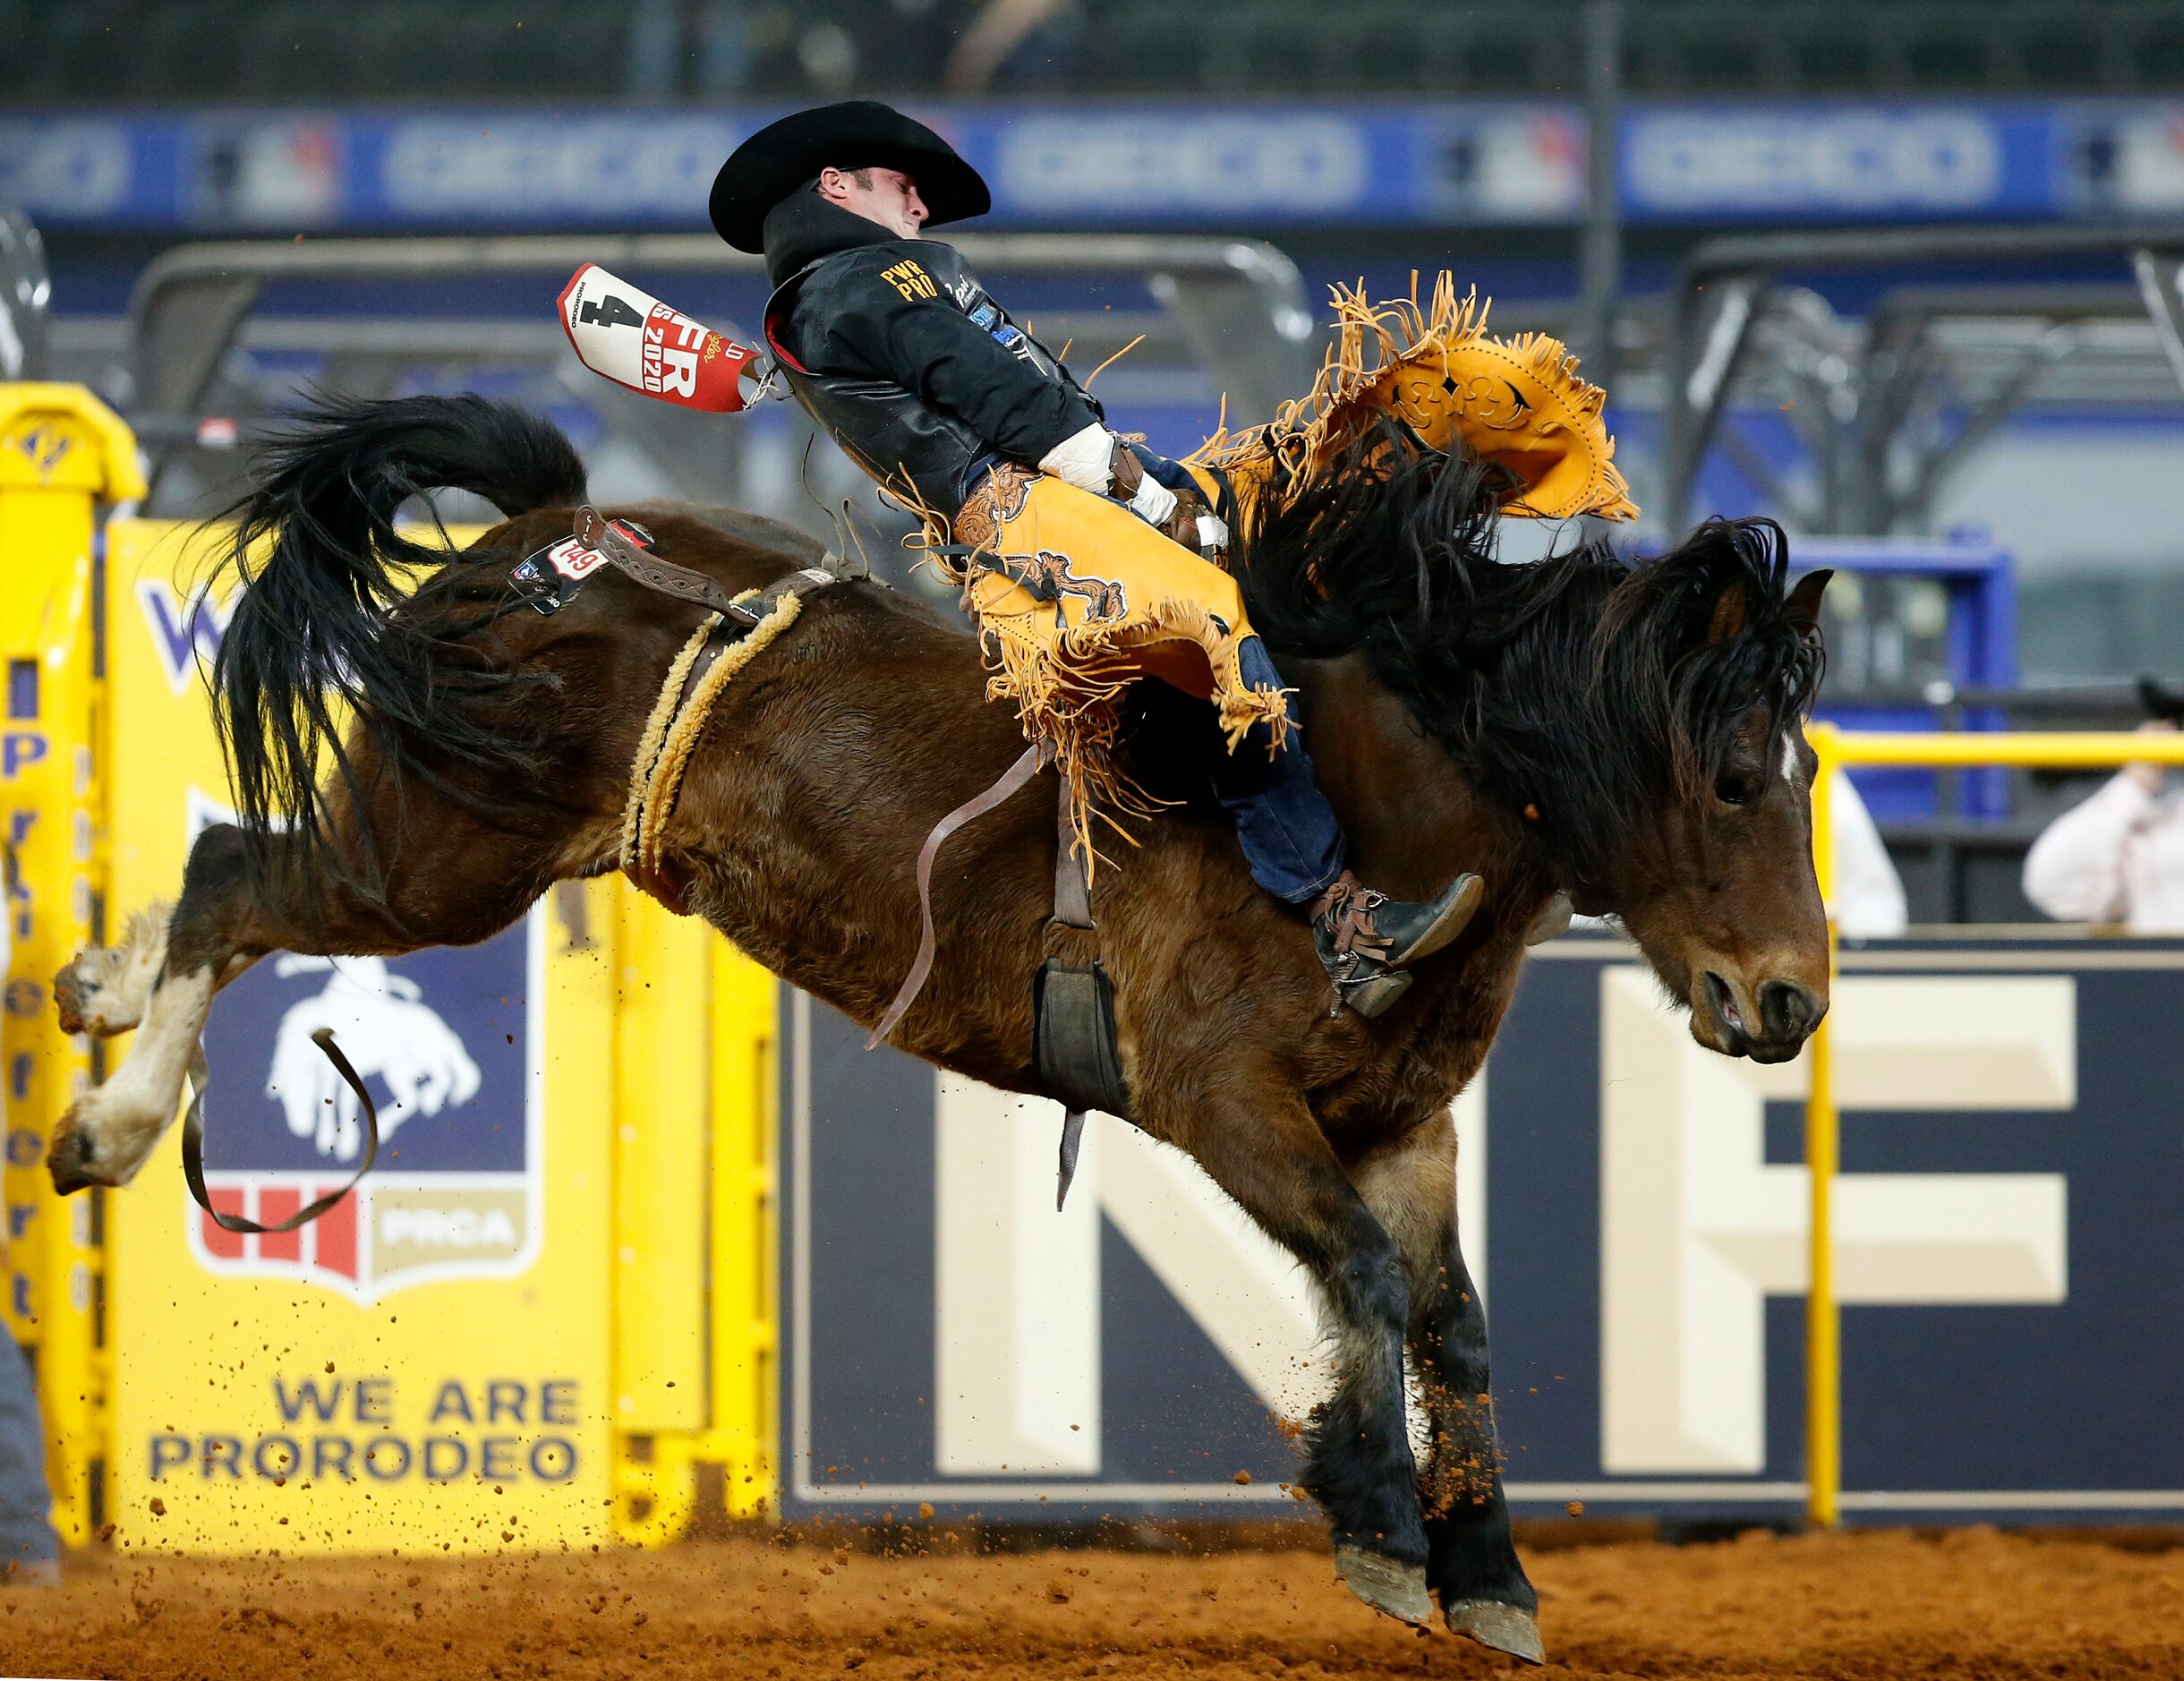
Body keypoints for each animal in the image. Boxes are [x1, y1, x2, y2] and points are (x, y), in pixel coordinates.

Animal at [47, 284, 1825, 1650]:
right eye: (1742, 777)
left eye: (1802, 774)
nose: (1793, 1000)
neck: (1369, 817)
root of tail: (555, 529)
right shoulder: (1225, 1102)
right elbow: (1371, 1286)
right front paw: (1383, 1530)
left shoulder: (1402, 1123)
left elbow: (1452, 1320)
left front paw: (1496, 1576)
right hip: (435, 850)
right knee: (231, 876)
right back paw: (110, 1120)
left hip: (448, 848)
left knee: (230, 884)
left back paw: (96, 1005)